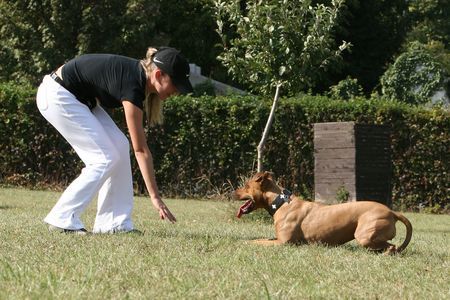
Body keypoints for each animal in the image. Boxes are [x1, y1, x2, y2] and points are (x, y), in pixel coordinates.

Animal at [234, 171, 414, 253]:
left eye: (246, 186)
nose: (232, 193)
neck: (280, 202)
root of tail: (392, 212)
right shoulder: (277, 238)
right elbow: (260, 238)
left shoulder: (284, 242)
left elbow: (258, 242)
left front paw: (244, 243)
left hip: (365, 234)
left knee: (391, 247)